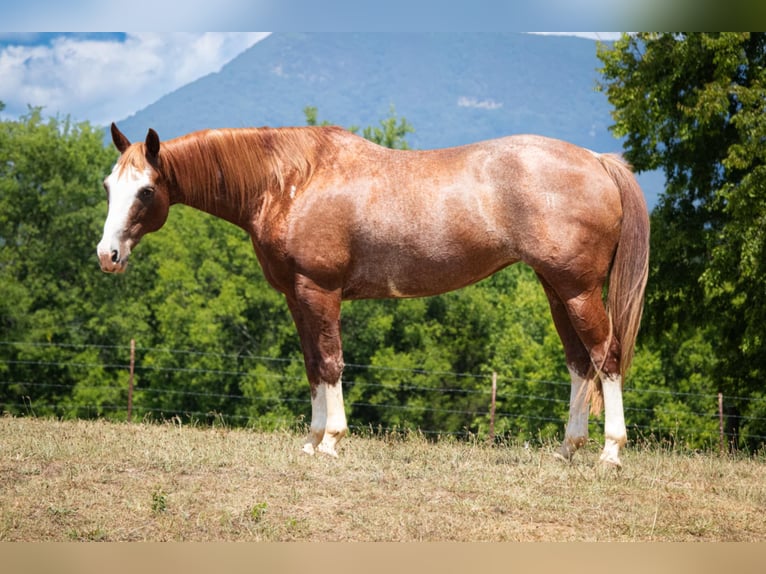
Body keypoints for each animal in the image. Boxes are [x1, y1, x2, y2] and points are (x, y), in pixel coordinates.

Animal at [94, 122, 648, 468]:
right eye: (108, 186)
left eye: (146, 190)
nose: (107, 255)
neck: (292, 181)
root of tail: (598, 161)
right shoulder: (297, 297)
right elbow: (312, 365)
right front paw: (312, 439)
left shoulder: (320, 290)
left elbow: (332, 362)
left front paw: (332, 442)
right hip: (557, 290)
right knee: (579, 364)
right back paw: (567, 450)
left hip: (577, 290)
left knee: (607, 357)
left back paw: (610, 452)